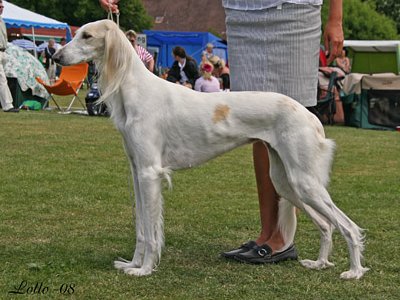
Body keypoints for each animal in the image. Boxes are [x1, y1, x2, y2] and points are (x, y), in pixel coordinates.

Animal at [53, 19, 368, 280]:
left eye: (87, 35)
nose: (56, 57)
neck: (135, 89)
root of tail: (310, 116)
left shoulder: (150, 173)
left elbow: (151, 232)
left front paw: (143, 269)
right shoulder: (137, 172)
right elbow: (142, 228)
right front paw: (132, 264)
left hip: (303, 181)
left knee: (348, 226)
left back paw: (354, 272)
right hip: (286, 181)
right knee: (326, 225)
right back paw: (320, 263)